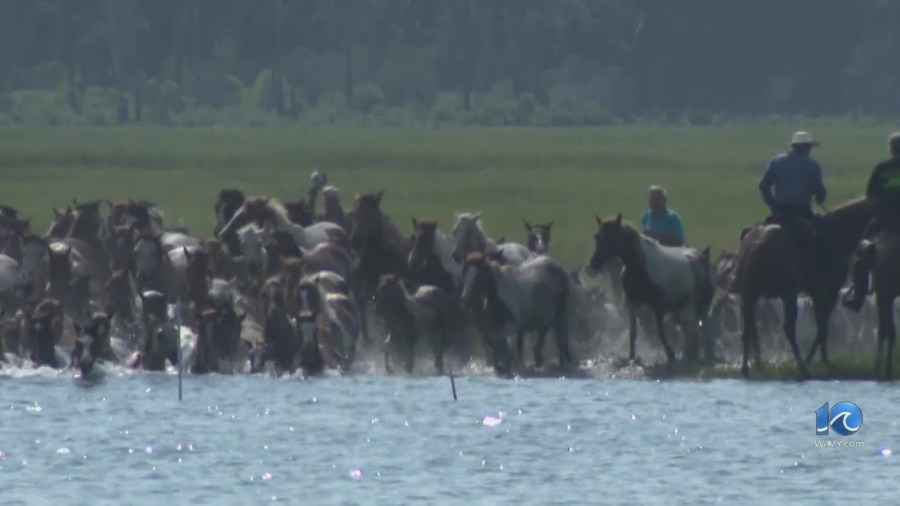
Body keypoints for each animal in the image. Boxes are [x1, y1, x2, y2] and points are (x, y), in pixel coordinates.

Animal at [590, 214, 714, 365]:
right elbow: (633, 332)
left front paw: (671, 355)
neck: (640, 267)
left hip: (699, 306)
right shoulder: (632, 303)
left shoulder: (658, 306)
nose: (593, 263)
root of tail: (700, 256)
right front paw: (631, 357)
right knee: (692, 332)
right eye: (597, 236)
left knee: (700, 330)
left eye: (612, 237)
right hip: (683, 308)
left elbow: (660, 332)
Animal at [730, 197, 874, 377]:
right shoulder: (828, 291)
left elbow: (822, 325)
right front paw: (814, 359)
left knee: (748, 329)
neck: (837, 232)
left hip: (749, 294)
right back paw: (801, 366)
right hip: (787, 293)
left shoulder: (817, 293)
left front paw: (822, 358)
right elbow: (822, 327)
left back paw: (749, 367)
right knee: (788, 328)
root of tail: (755, 245)